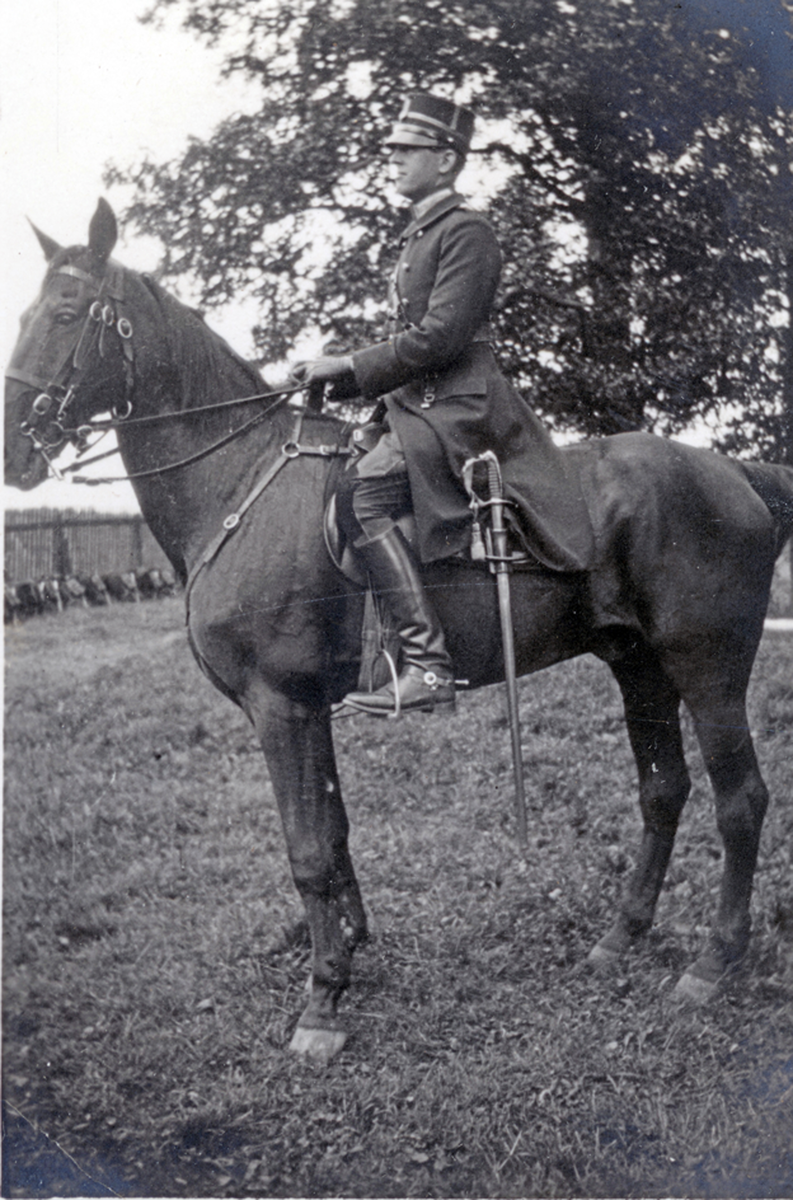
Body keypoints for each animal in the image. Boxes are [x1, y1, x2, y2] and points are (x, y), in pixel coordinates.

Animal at [6, 201, 791, 1065]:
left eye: (67, 313)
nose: (13, 450)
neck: (241, 484)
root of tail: (735, 472)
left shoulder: (279, 705)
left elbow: (307, 849)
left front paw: (321, 1002)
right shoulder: (306, 708)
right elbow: (335, 832)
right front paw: (348, 949)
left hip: (707, 669)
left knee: (739, 800)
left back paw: (711, 964)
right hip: (638, 666)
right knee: (662, 789)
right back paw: (619, 938)